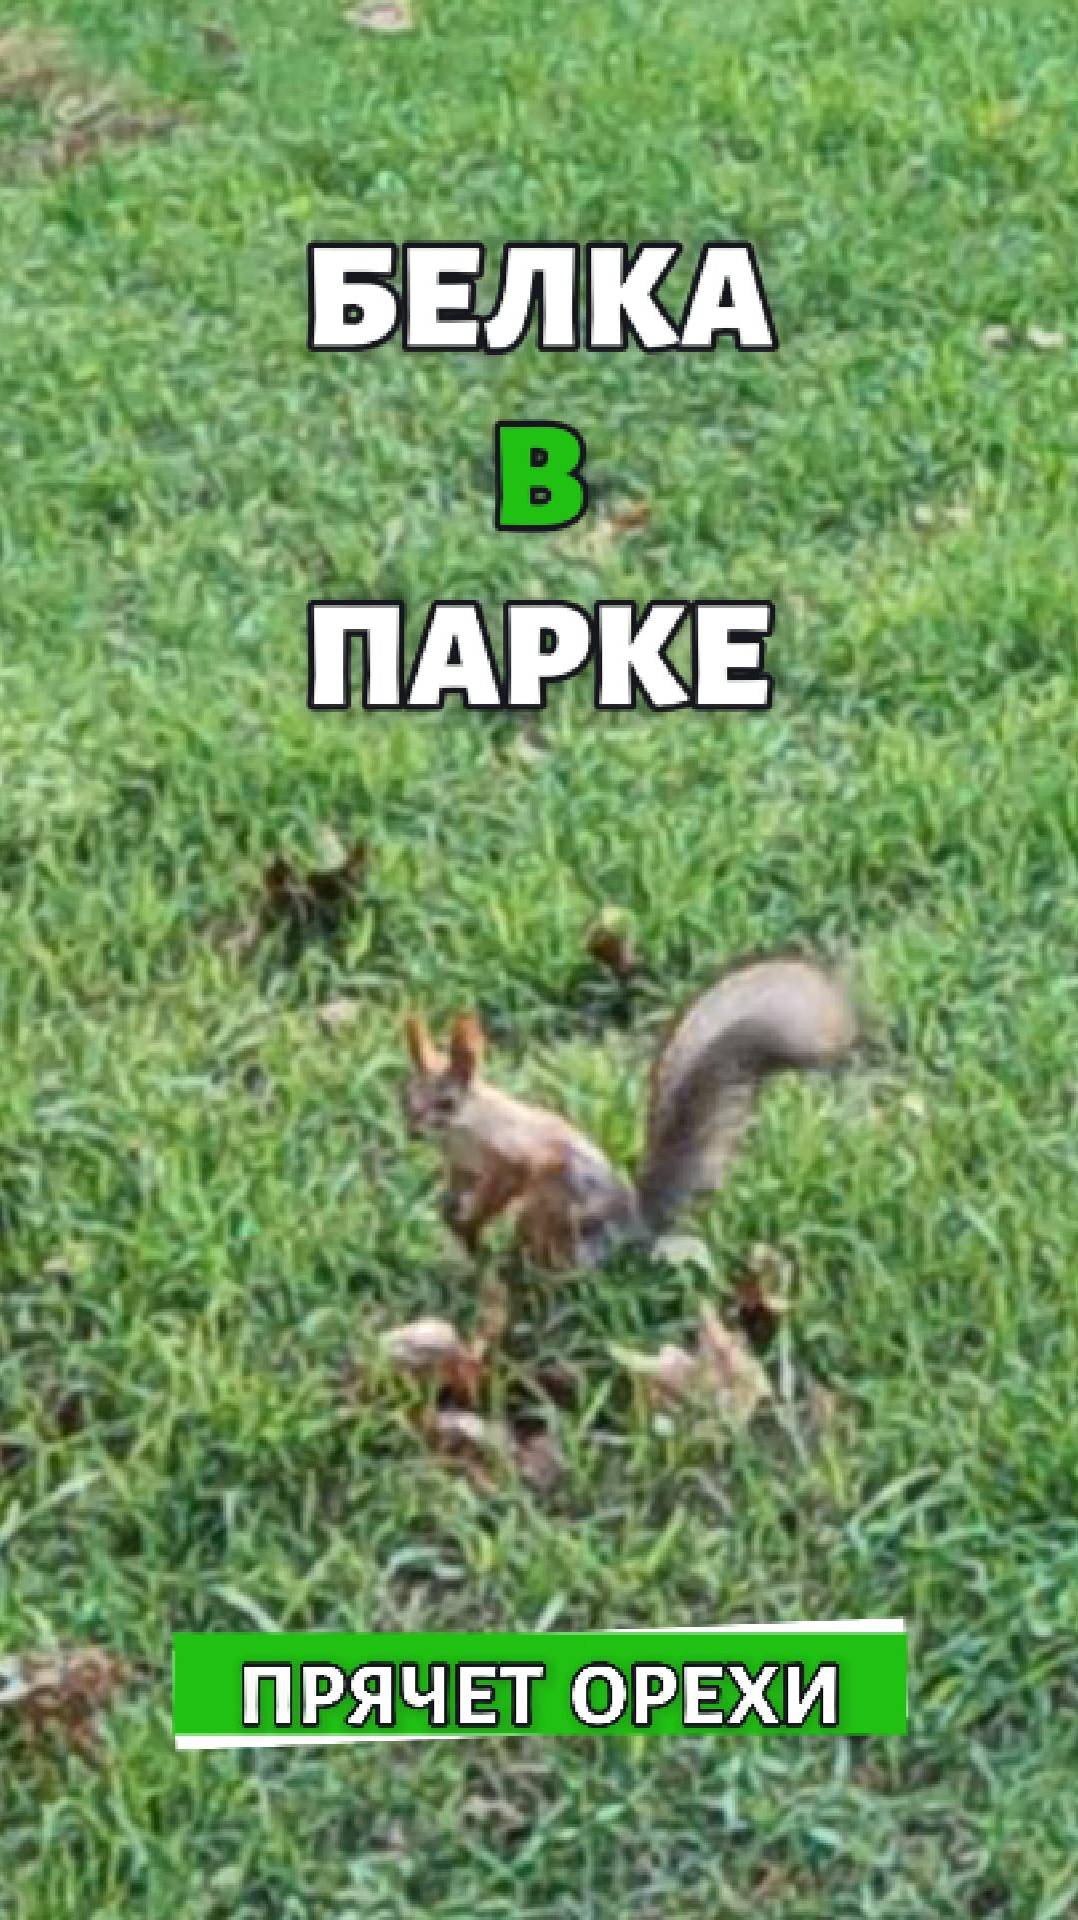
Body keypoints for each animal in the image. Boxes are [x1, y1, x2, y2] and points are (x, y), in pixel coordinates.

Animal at [402, 954, 858, 1271]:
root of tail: (633, 1223)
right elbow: (459, 1185)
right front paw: (449, 1214)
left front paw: (471, 1221)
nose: (413, 1131)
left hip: (559, 1209)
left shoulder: (514, 1152)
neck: (461, 1132)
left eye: (446, 1103)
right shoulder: (462, 1165)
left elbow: (509, 1178)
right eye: (403, 1096)